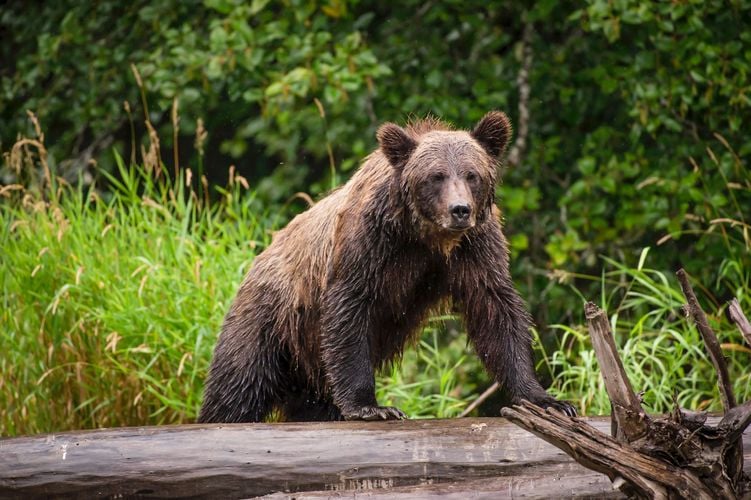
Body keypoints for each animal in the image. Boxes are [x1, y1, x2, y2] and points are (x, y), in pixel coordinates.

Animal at [197, 111, 576, 423]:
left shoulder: (475, 248)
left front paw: (547, 399)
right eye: (436, 176)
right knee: (239, 384)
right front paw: (372, 407)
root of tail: (258, 259)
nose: (460, 210)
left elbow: (496, 310)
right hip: (271, 319)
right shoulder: (370, 244)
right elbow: (351, 309)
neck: (425, 235)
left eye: (472, 175)